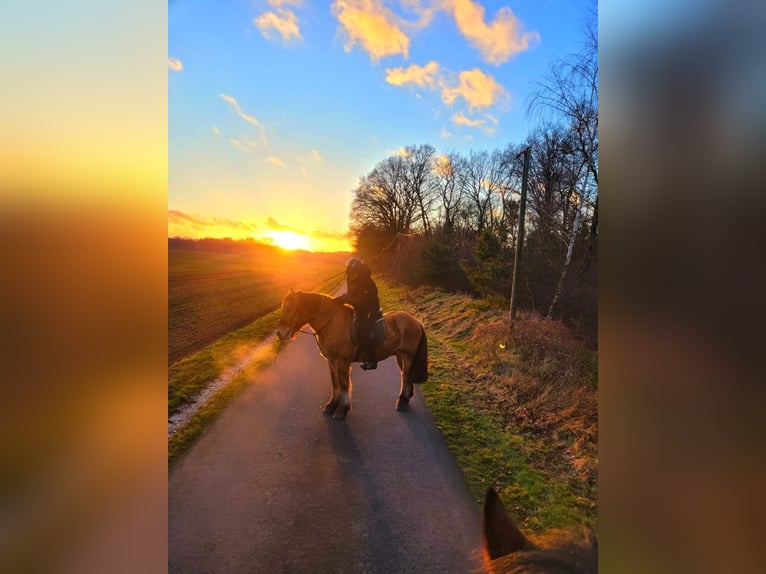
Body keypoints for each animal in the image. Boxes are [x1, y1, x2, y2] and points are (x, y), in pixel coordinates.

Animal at [278, 290, 432, 420]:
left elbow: (344, 384)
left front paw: (342, 410)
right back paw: (405, 398)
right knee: (405, 376)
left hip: (408, 356)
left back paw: (402, 401)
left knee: (405, 377)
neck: (333, 324)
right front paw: (332, 405)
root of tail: (416, 321)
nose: (280, 333)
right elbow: (335, 383)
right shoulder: (331, 361)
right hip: (400, 355)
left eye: (290, 308)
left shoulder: (342, 362)